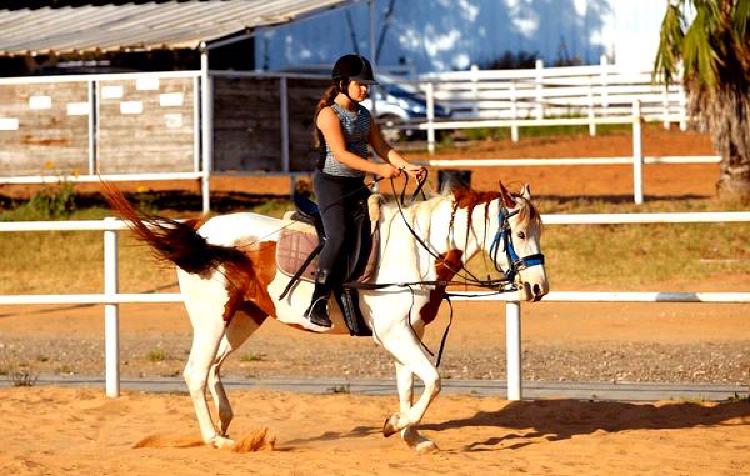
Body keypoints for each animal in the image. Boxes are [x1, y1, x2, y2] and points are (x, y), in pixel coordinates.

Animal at [106, 182, 548, 454]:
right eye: (520, 234)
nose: (538, 287)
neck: (415, 249)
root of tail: (201, 228)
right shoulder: (394, 333)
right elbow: (434, 381)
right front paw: (397, 425)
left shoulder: (408, 331)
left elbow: (410, 384)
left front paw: (410, 434)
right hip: (212, 318)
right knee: (196, 372)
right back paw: (217, 439)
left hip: (244, 317)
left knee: (213, 368)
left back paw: (229, 425)